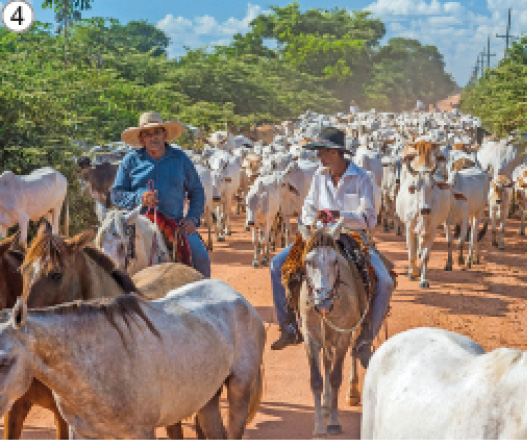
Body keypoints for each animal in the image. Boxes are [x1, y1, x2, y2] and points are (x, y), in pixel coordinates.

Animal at [0, 280, 264, 438]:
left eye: (4, 361)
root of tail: (237, 296)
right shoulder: (82, 432)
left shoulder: (141, 432)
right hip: (207, 398)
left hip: (239, 389)